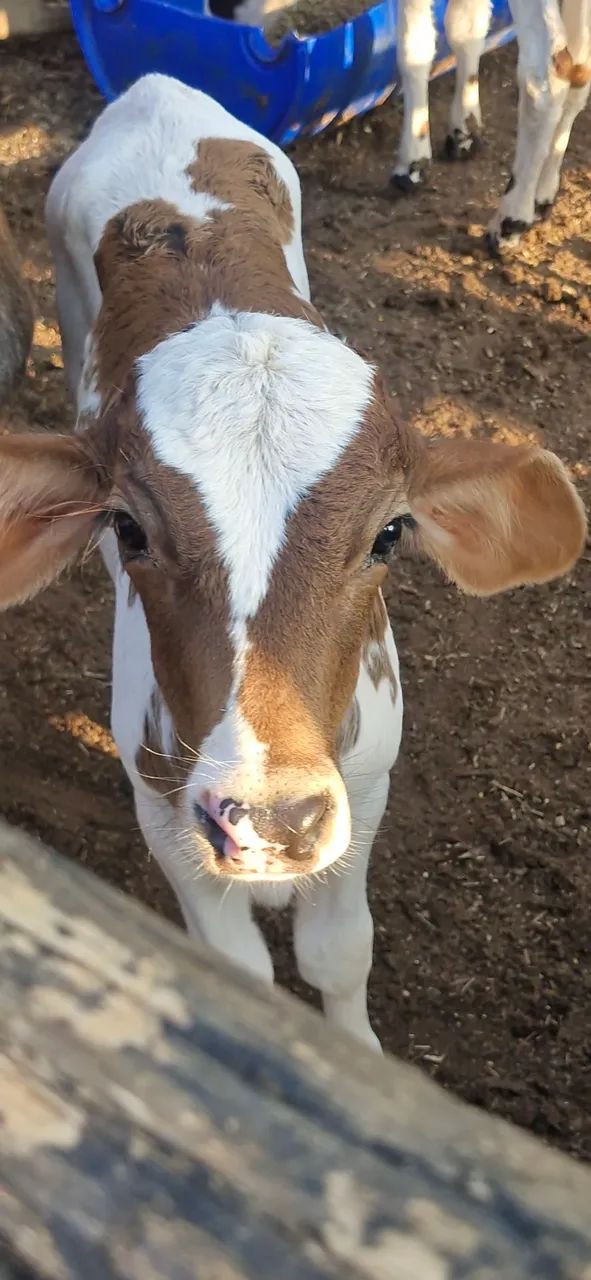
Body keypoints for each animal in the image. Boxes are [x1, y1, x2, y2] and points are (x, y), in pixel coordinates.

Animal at [0, 74, 579, 1051]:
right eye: (128, 530)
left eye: (388, 535)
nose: (269, 820)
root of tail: (154, 87)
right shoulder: (160, 804)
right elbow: (237, 970)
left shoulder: (366, 786)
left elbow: (338, 955)